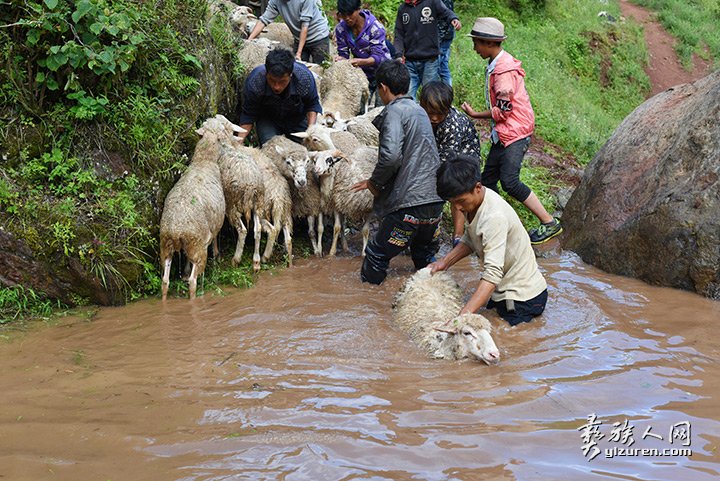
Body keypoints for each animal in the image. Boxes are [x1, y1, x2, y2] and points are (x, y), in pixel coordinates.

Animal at [160, 116, 239, 298]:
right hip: (197, 247)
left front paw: (185, 271)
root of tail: (176, 230)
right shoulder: (216, 223)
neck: (204, 161)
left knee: (165, 282)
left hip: (166, 247)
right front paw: (217, 255)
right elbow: (216, 238)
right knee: (193, 282)